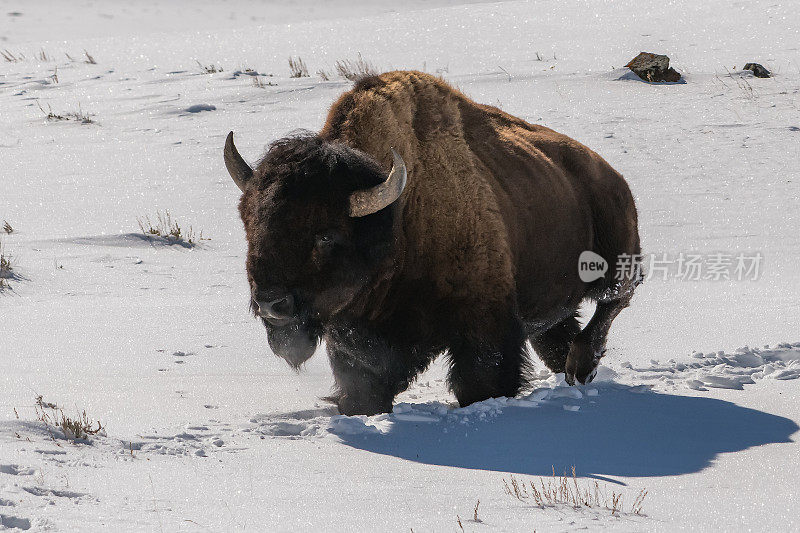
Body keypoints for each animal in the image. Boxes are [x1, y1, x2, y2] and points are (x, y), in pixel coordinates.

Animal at [225, 69, 644, 416]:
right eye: (249, 224)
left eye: (326, 235)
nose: (271, 304)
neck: (398, 219)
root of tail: (610, 176)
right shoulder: (358, 342)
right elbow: (362, 391)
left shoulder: (484, 326)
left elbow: (481, 381)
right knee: (557, 334)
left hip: (618, 262)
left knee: (612, 303)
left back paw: (581, 366)